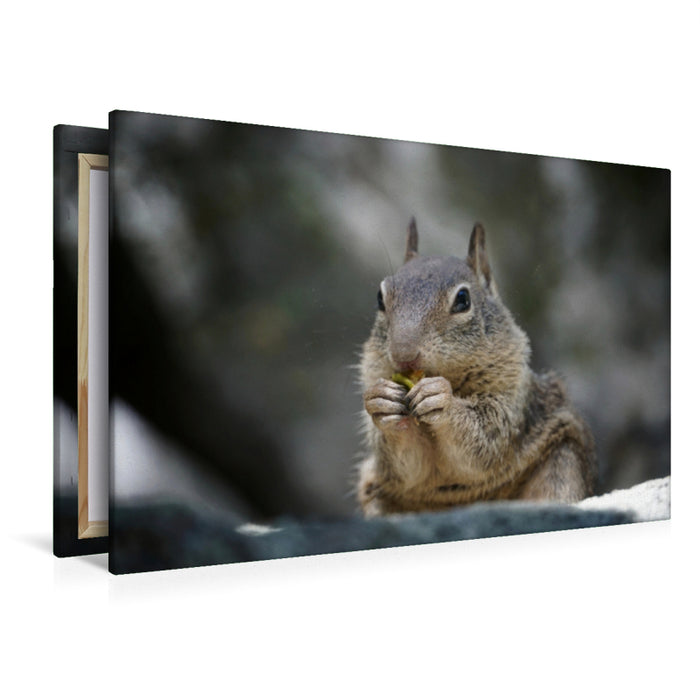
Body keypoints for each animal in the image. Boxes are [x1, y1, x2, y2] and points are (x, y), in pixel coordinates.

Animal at [357, 218, 597, 516]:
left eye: (462, 299)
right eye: (380, 297)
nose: (404, 354)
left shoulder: (510, 398)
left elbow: (485, 439)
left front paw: (442, 400)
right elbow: (405, 466)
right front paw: (381, 400)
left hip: (561, 465)